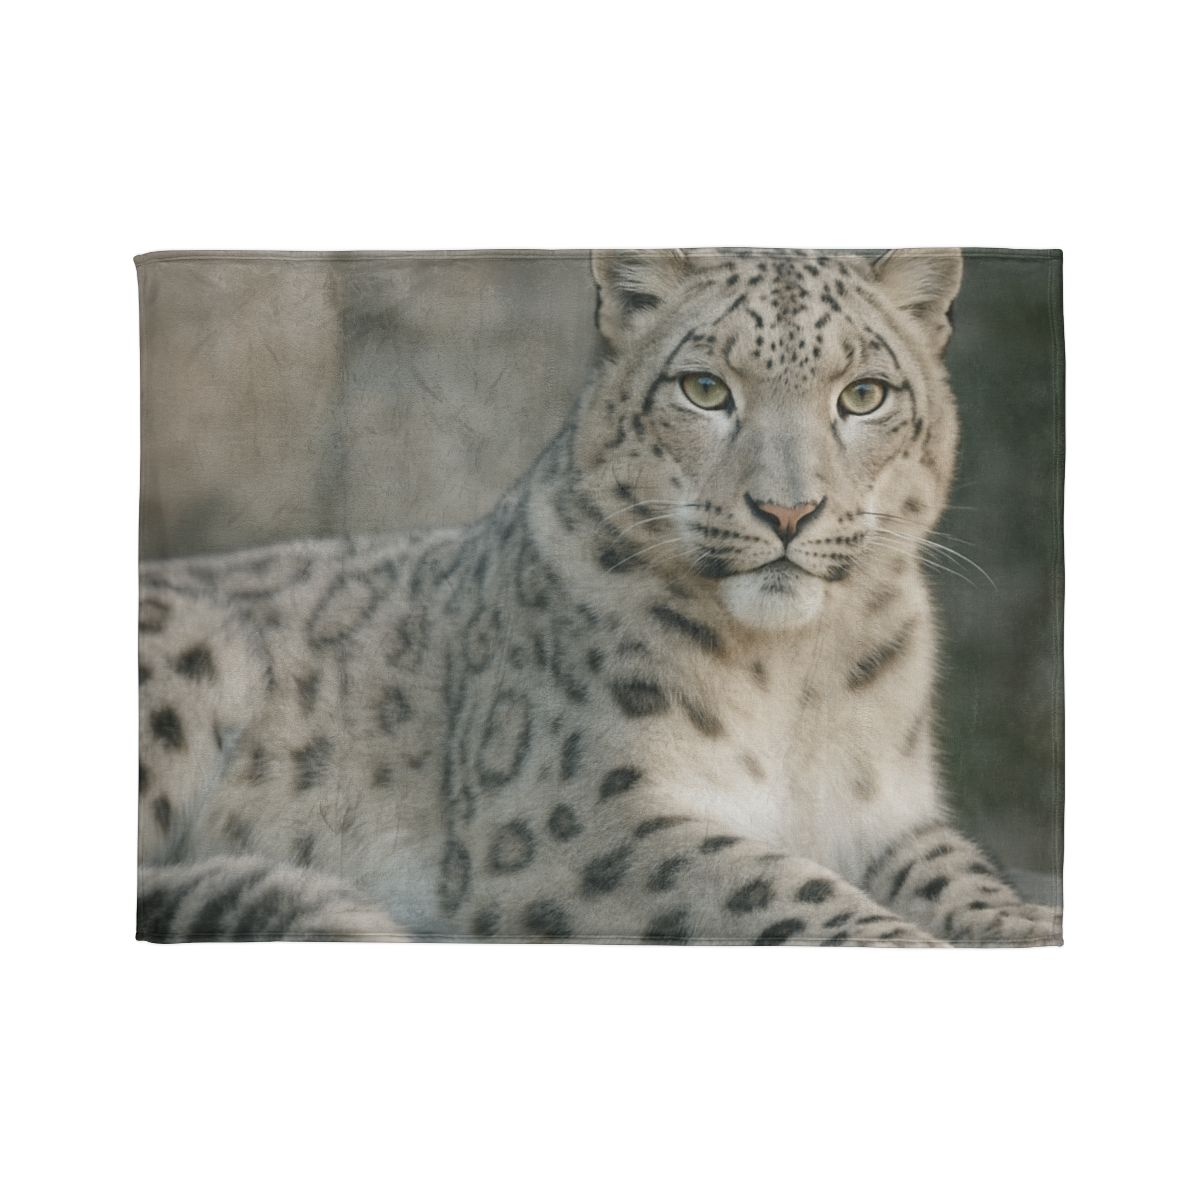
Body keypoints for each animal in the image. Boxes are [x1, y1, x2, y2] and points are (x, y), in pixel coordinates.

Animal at [137, 247, 1062, 945]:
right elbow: (772, 885)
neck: (794, 674)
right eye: (704, 388)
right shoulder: (576, 815)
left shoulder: (887, 814)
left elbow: (963, 878)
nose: (787, 510)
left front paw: (1030, 924)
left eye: (864, 393)